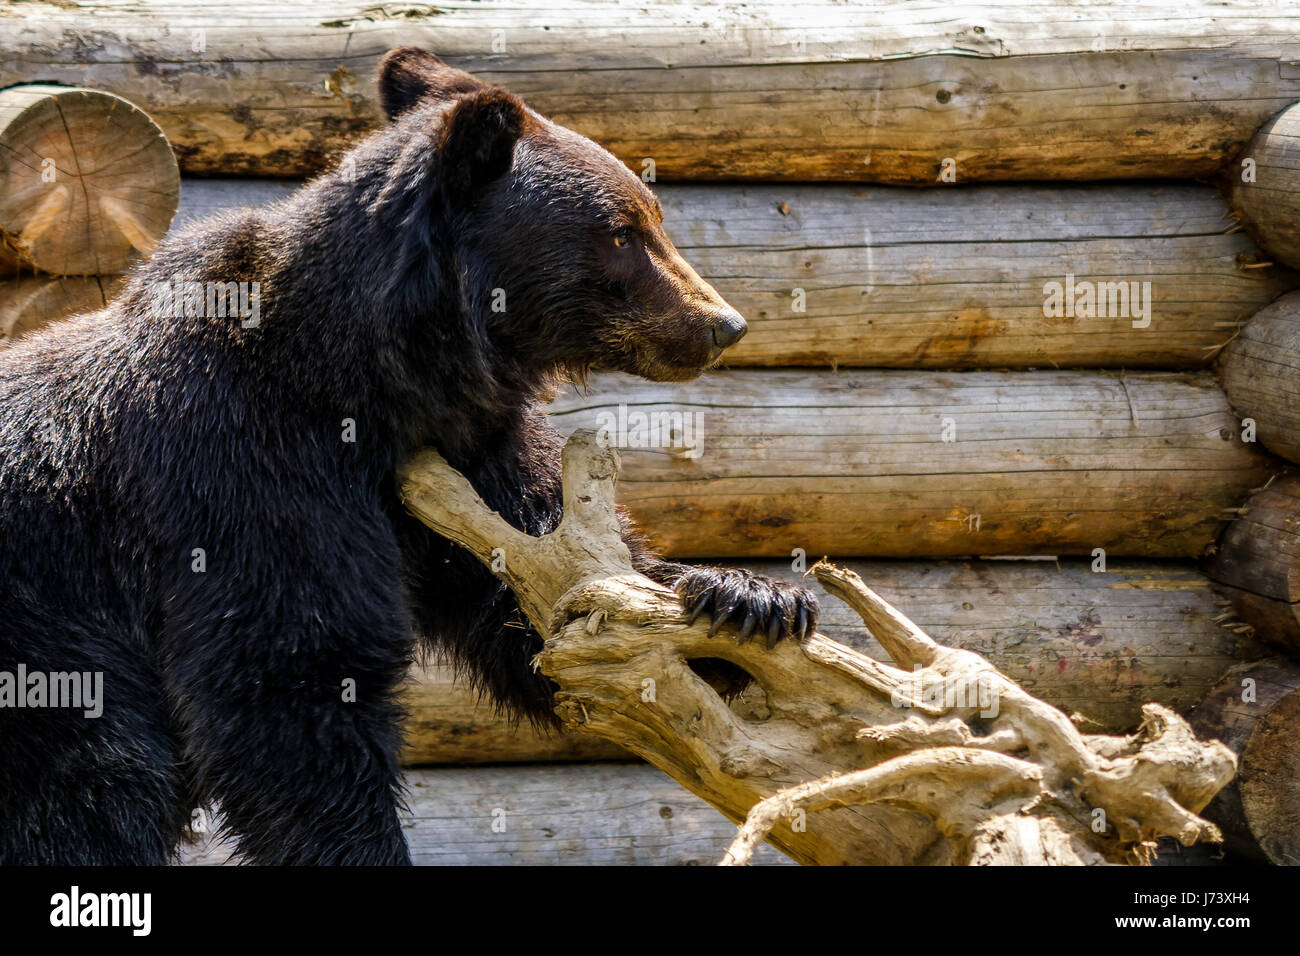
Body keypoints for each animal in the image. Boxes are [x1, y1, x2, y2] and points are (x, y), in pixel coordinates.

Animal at [0, 47, 818, 865]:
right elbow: (291, 677)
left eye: (652, 217)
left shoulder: (462, 469)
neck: (379, 383)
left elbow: (542, 612)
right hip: (52, 646)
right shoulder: (242, 465)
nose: (722, 323)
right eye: (621, 232)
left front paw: (750, 598)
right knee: (96, 782)